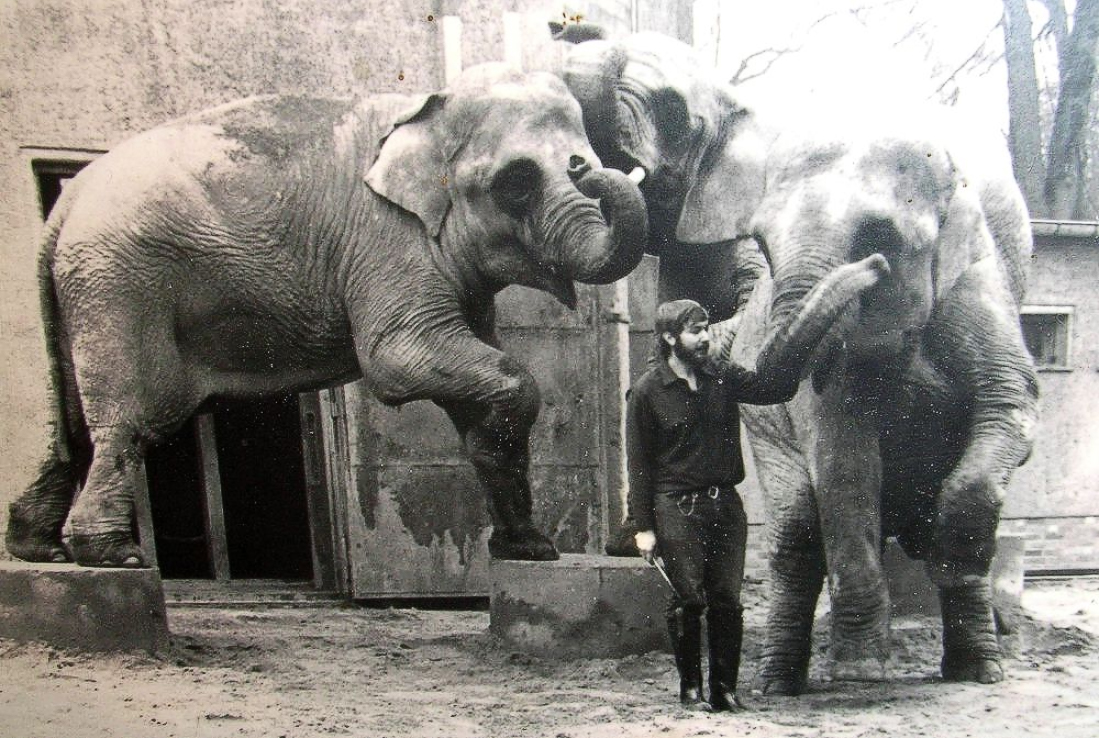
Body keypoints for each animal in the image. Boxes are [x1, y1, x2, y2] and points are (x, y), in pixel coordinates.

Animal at [6, 63, 650, 571]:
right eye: (518, 182)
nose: (590, 167)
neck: (426, 106)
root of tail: (66, 201)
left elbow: (471, 381)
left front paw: (528, 548)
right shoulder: (388, 238)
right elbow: (402, 359)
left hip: (88, 288)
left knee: (71, 423)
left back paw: (39, 549)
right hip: (119, 284)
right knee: (133, 416)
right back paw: (112, 556)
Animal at [558, 24, 1037, 694]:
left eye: (879, 240)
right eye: (761, 241)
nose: (579, 163)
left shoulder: (977, 293)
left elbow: (1007, 407)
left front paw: (971, 653)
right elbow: (842, 459)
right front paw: (862, 673)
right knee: (796, 530)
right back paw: (777, 682)